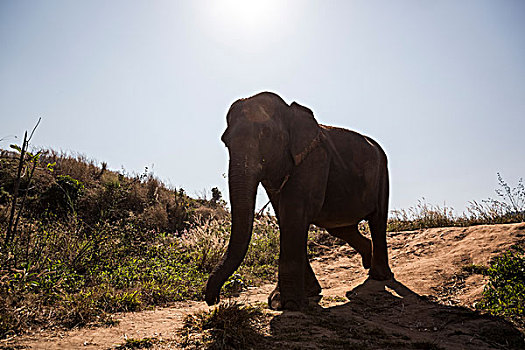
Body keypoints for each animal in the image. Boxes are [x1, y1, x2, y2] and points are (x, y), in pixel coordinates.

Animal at [203, 91, 390, 310]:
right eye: (225, 141)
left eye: (266, 133)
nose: (213, 300)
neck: (290, 112)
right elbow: (285, 218)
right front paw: (297, 296)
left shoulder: (313, 161)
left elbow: (293, 216)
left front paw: (288, 304)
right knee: (340, 228)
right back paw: (368, 261)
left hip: (383, 174)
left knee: (377, 221)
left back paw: (380, 275)